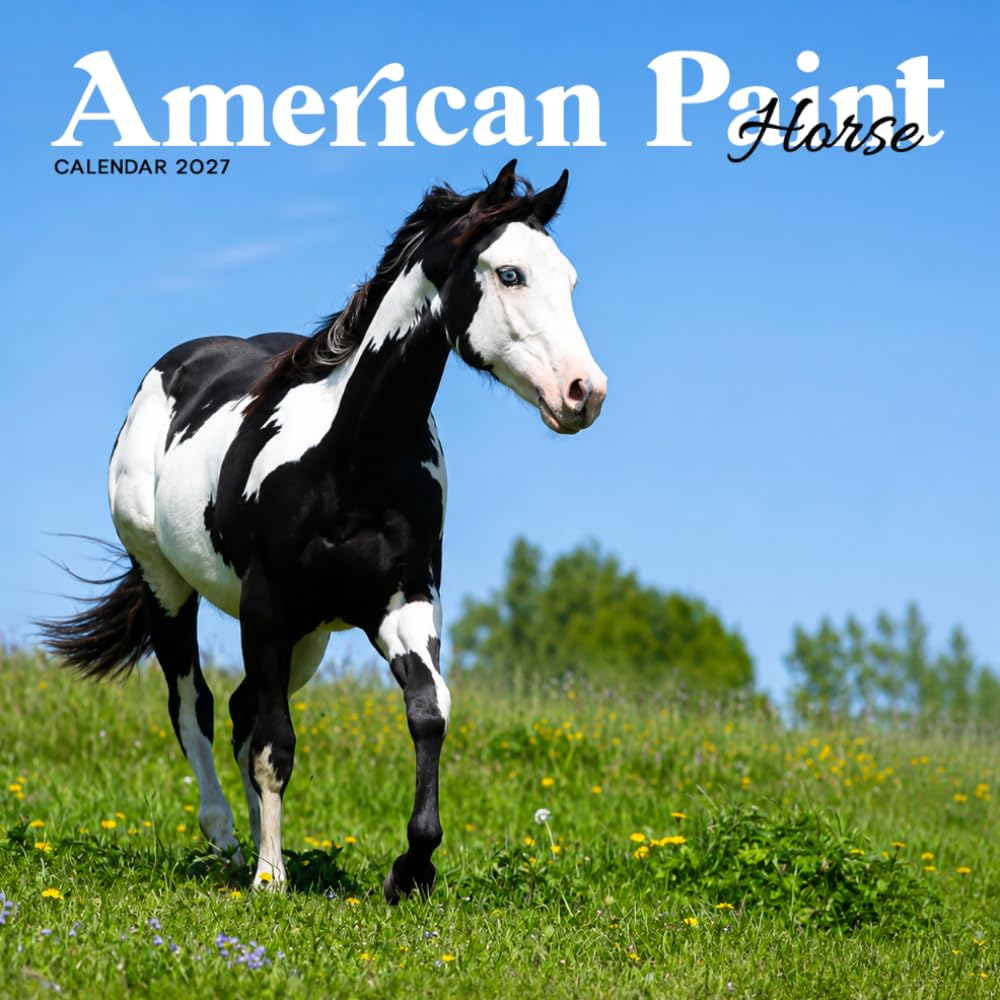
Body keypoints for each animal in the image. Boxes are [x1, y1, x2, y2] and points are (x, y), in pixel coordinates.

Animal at [39, 159, 607, 902]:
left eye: (569, 279)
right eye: (509, 273)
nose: (584, 393)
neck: (351, 460)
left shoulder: (404, 603)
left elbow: (427, 711)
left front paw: (411, 869)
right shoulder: (267, 605)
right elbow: (275, 744)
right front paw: (271, 879)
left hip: (306, 637)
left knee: (243, 710)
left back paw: (254, 844)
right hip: (170, 586)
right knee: (194, 705)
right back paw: (228, 841)